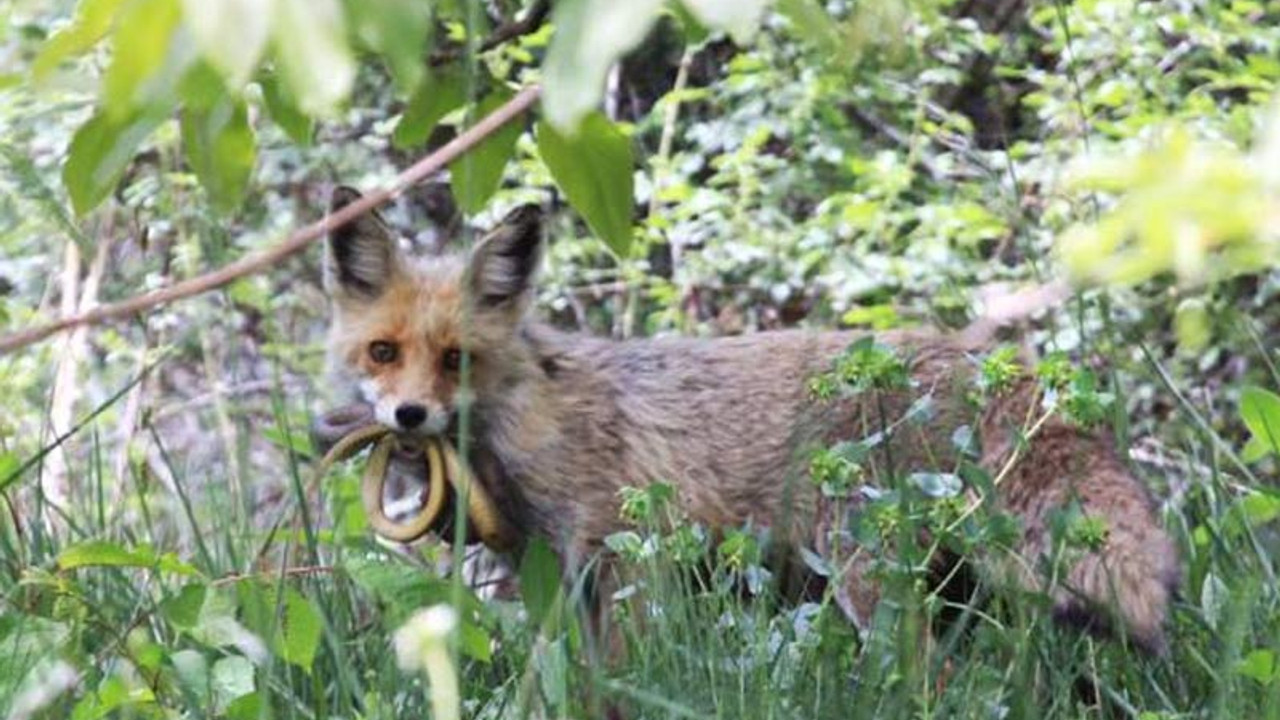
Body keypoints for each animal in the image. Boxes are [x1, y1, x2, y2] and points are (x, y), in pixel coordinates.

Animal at [320, 184, 1177, 650]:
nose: (408, 417)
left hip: (864, 567)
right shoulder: (551, 574)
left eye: (456, 359)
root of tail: (975, 359)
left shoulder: (629, 556)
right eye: (384, 352)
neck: (528, 425)